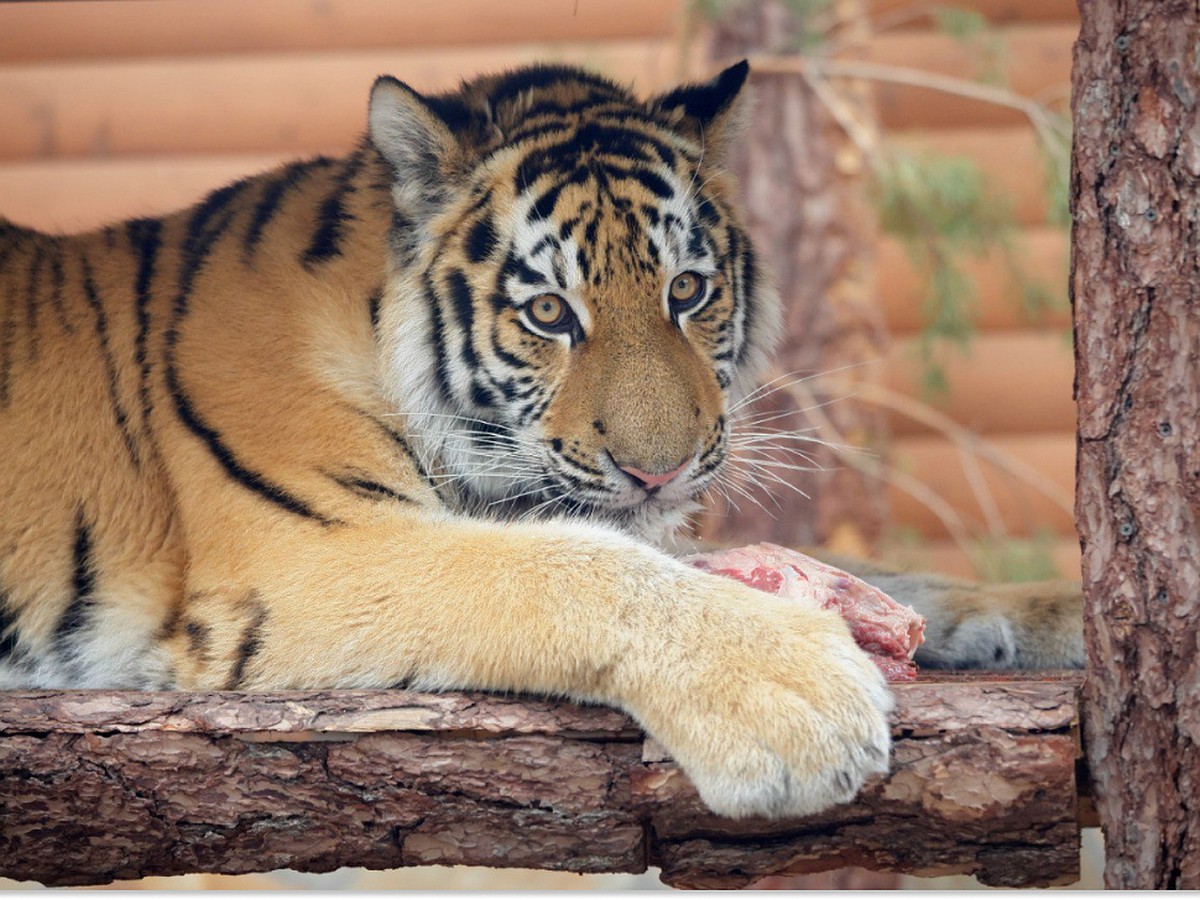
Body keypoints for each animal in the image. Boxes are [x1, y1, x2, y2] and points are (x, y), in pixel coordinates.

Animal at [0, 61, 1089, 825]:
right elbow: (576, 565)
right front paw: (796, 701)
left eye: (687, 289)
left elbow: (876, 575)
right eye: (549, 312)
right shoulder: (308, 553)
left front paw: (1052, 612)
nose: (661, 468)